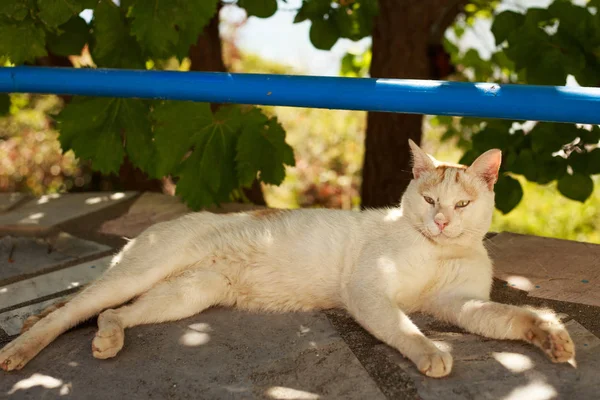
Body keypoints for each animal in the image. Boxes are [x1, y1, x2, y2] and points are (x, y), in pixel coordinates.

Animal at [0, 141, 572, 378]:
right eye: (430, 200)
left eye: (463, 205)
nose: (442, 222)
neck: (440, 251)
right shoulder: (369, 291)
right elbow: (404, 327)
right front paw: (430, 352)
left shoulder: (461, 304)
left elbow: (510, 317)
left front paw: (550, 337)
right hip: (142, 272)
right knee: (69, 311)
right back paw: (21, 350)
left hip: (187, 294)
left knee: (106, 313)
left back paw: (109, 337)